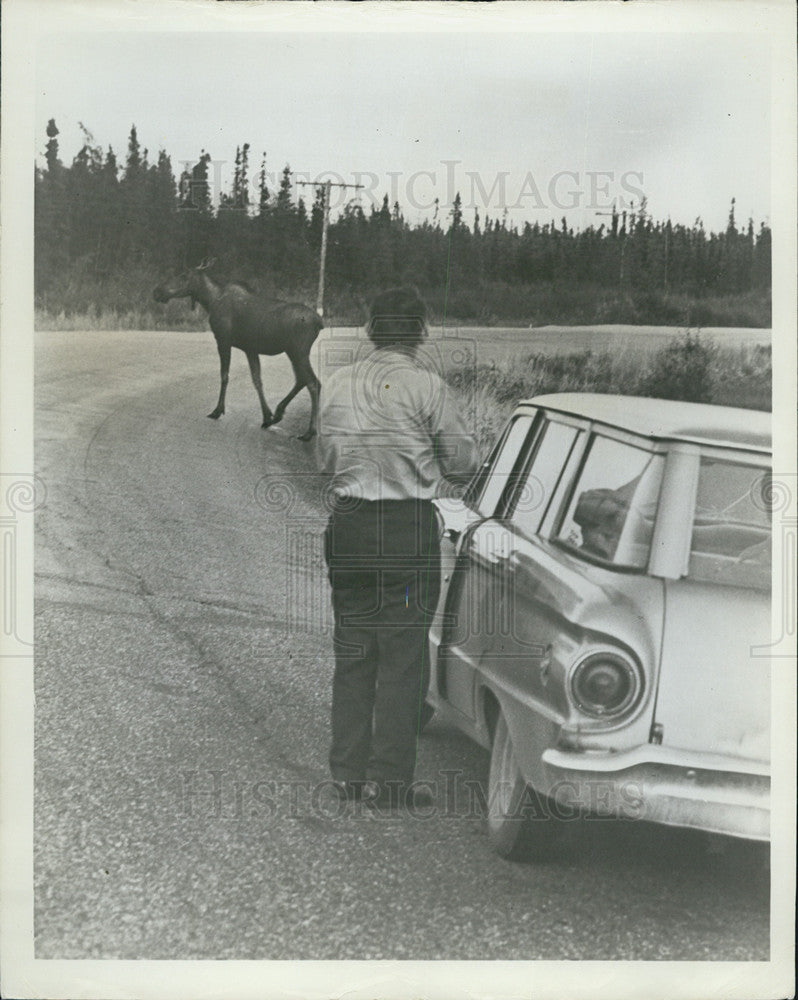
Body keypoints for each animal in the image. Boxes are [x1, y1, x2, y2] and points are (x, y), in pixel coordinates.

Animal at [153, 264, 322, 440]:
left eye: (184, 275)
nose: (156, 292)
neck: (210, 301)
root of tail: (319, 322)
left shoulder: (223, 340)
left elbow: (224, 375)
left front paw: (218, 410)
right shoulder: (250, 349)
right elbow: (257, 380)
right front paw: (266, 416)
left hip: (299, 351)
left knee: (313, 382)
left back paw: (310, 432)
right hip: (293, 352)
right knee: (301, 380)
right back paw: (279, 413)